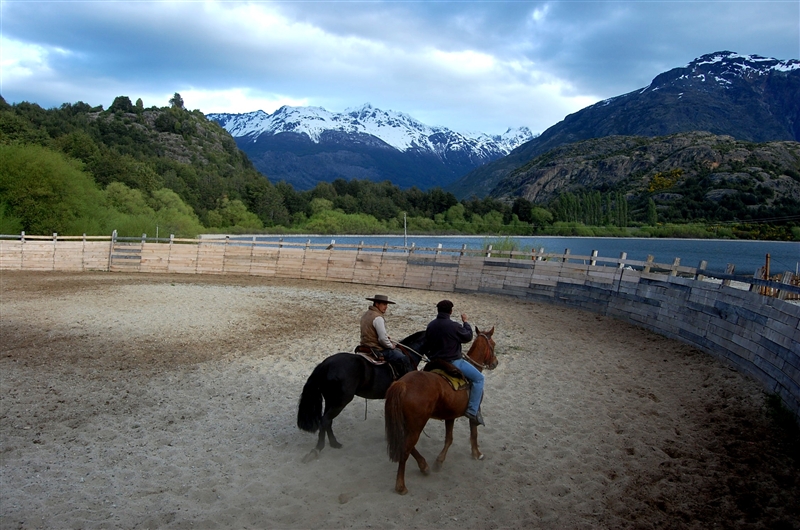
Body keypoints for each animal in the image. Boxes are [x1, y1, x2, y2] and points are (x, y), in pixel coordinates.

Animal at [296, 330, 428, 458]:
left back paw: (334, 443)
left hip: (331, 401)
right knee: (324, 421)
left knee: (328, 421)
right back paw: (318, 449)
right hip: (340, 402)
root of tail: (324, 365)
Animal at [384, 324, 496, 492]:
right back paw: (401, 485)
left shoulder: (450, 416)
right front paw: (477, 454)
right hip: (417, 425)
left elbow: (449, 439)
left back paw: (424, 466)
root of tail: (402, 384)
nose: (495, 363)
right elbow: (473, 434)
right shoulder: (474, 412)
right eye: (493, 345)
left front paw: (439, 461)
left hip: (407, 424)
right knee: (405, 449)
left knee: (406, 445)